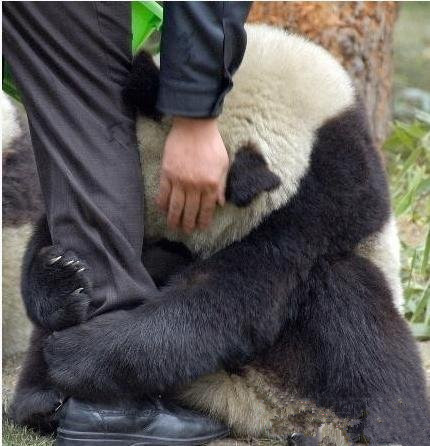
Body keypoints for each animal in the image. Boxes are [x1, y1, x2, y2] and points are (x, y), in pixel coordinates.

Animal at [5, 24, 428, 446]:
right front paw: (58, 278)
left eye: (177, 233)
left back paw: (375, 431)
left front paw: (79, 351)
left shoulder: (325, 194)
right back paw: (41, 402)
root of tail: (257, 406)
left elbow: (237, 292)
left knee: (357, 308)